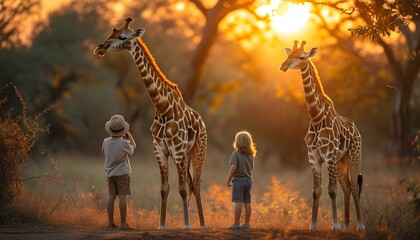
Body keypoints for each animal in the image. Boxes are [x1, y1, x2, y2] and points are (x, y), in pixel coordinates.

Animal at [94, 17, 208, 229]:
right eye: (112, 32)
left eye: (122, 36)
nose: (100, 48)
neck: (162, 107)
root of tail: (202, 121)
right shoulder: (159, 150)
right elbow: (164, 188)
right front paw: (161, 225)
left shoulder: (177, 150)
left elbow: (181, 188)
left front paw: (186, 225)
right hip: (187, 153)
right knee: (191, 184)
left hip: (198, 149)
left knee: (195, 184)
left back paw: (203, 225)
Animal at [280, 40, 366, 232]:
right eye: (289, 54)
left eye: (301, 57)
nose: (283, 66)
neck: (316, 117)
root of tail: (357, 129)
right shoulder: (314, 158)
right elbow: (316, 191)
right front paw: (312, 225)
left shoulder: (329, 156)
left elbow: (331, 190)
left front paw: (335, 225)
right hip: (341, 161)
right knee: (347, 187)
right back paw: (347, 226)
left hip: (353, 155)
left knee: (354, 186)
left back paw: (360, 226)